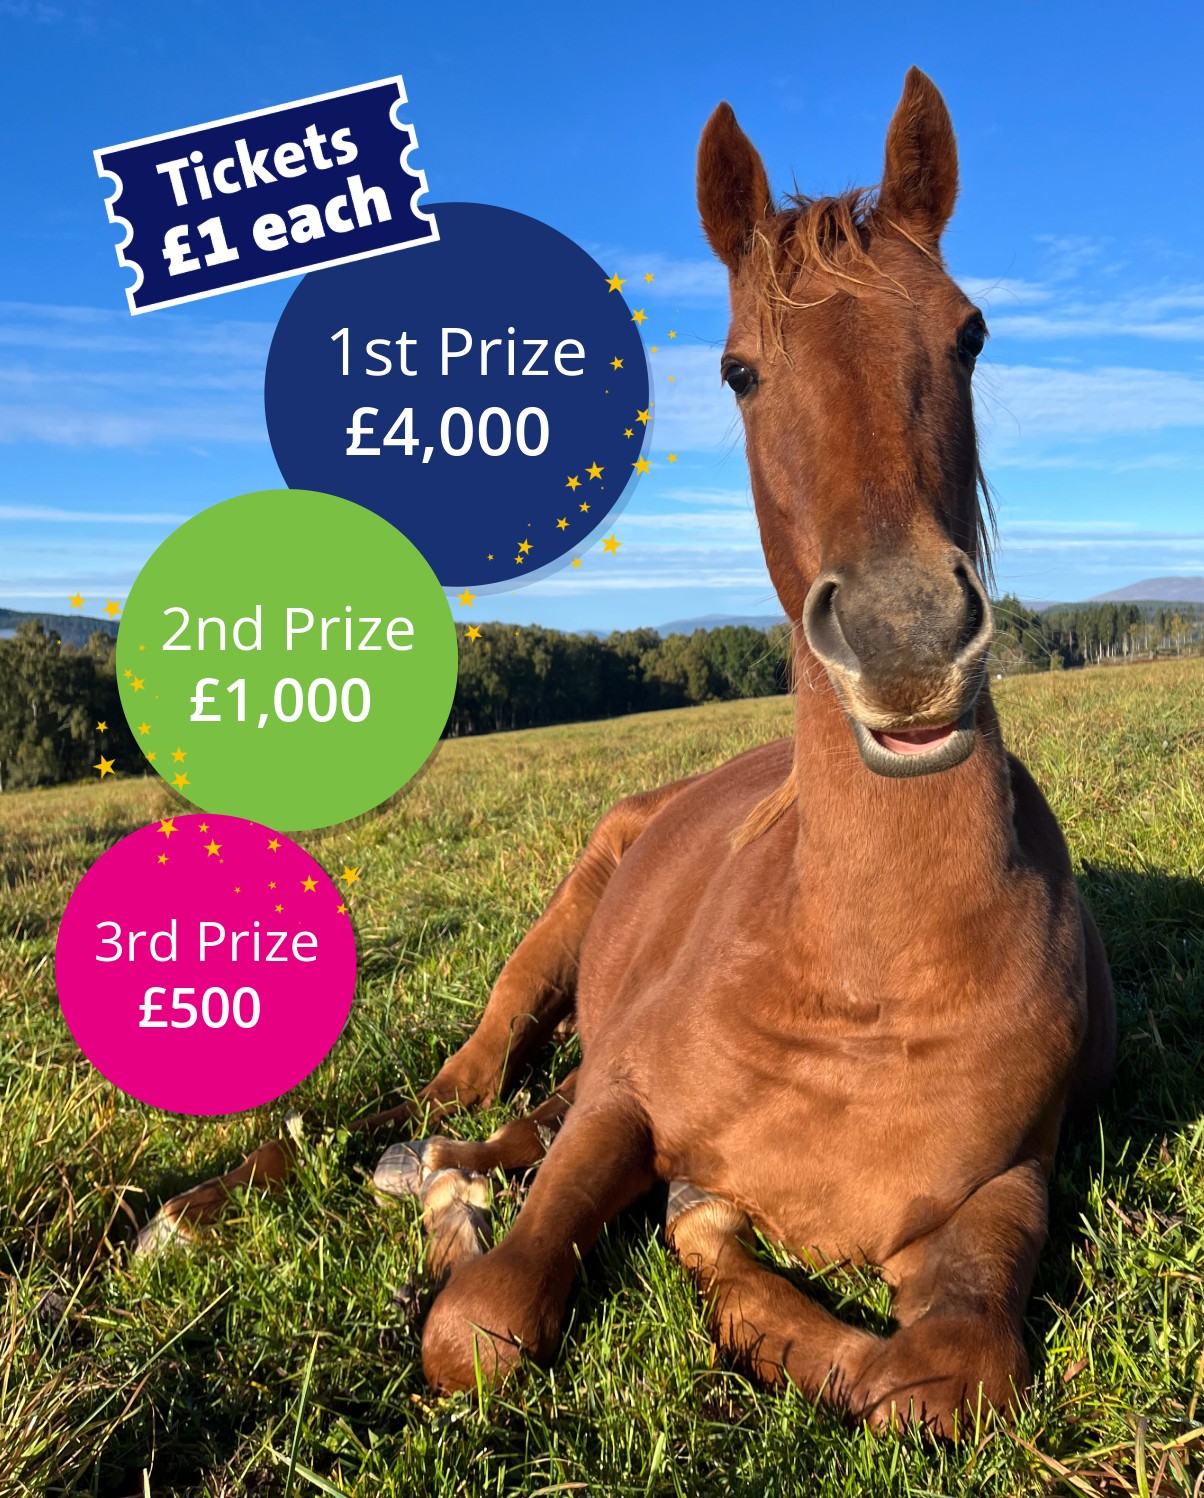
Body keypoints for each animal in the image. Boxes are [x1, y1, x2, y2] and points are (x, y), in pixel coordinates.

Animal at [140, 67, 1116, 1437]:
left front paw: (721, 1261)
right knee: (448, 1097)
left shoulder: (1002, 1191)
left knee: (499, 1131)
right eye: (739, 369)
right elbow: (486, 1323)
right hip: (544, 956)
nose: (906, 638)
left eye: (969, 333)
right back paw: (208, 1208)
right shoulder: (624, 1105)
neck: (871, 975)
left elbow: (942, 1376)